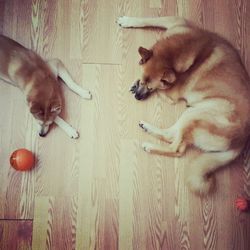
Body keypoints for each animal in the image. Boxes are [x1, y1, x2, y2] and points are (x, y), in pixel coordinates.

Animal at [117, 16, 250, 195]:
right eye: (144, 81)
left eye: (150, 88)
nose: (138, 97)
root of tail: (242, 141)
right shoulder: (177, 22)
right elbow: (152, 19)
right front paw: (128, 20)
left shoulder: (170, 94)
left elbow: (162, 91)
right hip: (192, 115)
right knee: (171, 135)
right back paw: (147, 128)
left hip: (197, 114)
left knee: (176, 148)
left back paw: (150, 146)